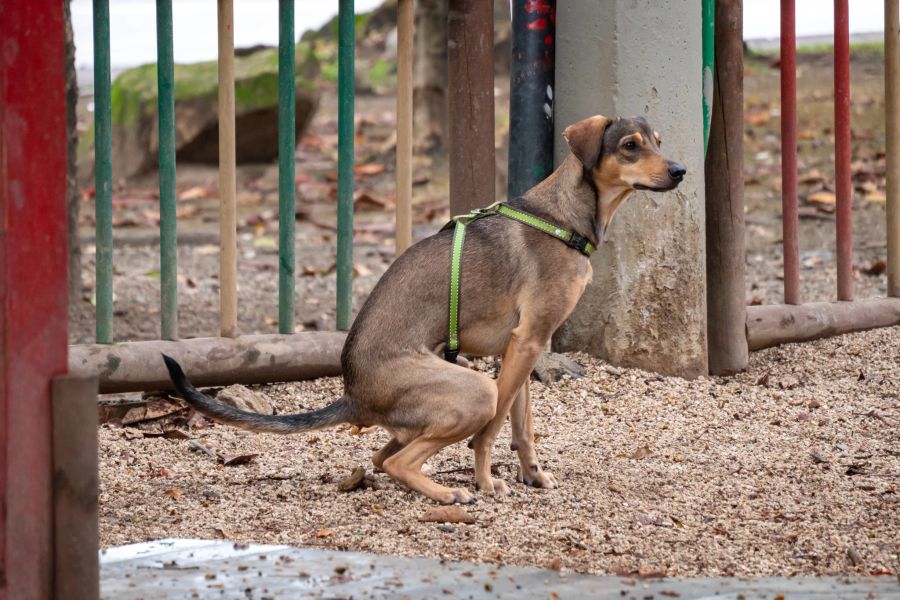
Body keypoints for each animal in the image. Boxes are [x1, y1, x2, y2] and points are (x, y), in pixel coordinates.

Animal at [163, 115, 684, 504]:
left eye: (658, 141)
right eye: (631, 146)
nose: (679, 170)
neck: (562, 218)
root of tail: (354, 394)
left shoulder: (526, 346)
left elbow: (523, 427)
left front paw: (532, 475)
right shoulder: (525, 344)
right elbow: (493, 431)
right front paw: (486, 480)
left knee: (381, 458)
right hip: (474, 389)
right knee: (396, 460)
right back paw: (449, 493)